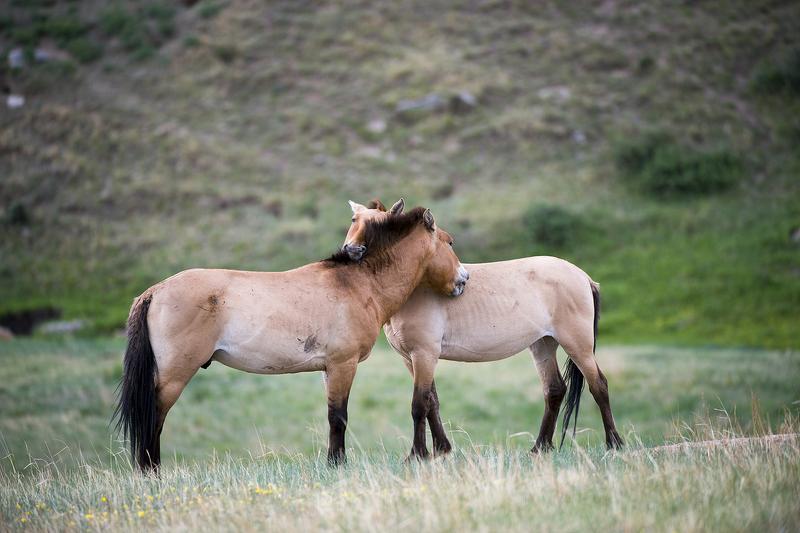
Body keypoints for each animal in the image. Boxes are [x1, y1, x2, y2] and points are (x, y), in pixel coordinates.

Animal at [115, 204, 472, 470]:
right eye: (450, 242)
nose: (463, 280)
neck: (357, 283)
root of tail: (154, 292)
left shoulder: (328, 370)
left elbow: (332, 415)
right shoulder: (343, 365)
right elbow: (339, 417)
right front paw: (337, 464)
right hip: (174, 375)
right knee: (154, 417)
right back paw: (151, 471)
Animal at [340, 198, 620, 458]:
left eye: (380, 226)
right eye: (354, 220)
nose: (351, 250)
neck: (417, 286)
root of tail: (584, 277)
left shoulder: (424, 354)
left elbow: (419, 404)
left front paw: (417, 455)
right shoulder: (410, 358)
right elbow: (432, 402)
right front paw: (442, 449)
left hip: (577, 345)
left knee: (599, 385)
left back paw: (614, 444)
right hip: (543, 344)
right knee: (554, 389)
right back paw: (539, 448)